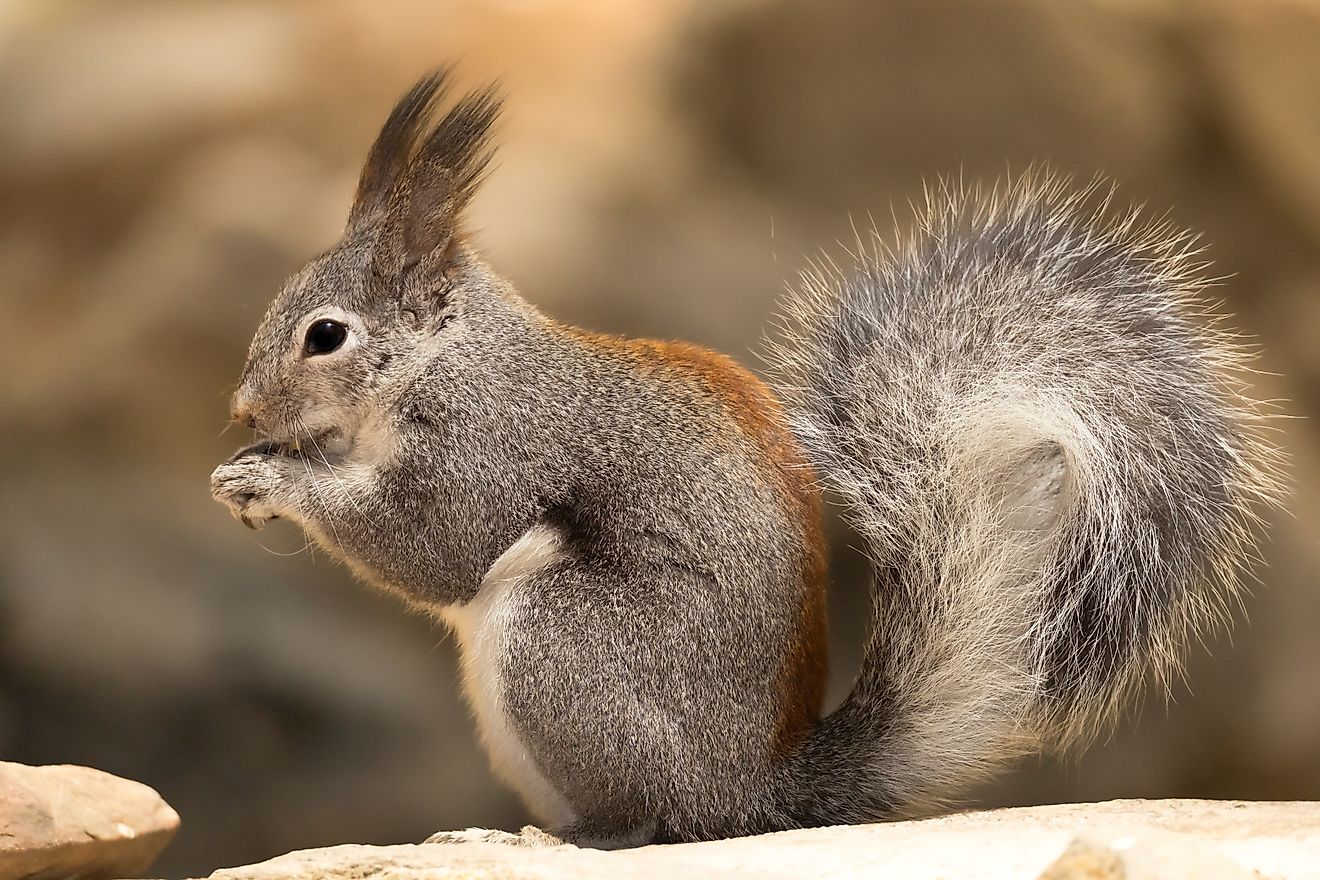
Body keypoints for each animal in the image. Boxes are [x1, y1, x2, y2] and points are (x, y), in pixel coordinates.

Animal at [210, 71, 1279, 848]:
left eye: (325, 336)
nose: (242, 409)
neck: (444, 359)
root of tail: (751, 795)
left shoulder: (493, 444)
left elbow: (433, 548)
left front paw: (272, 480)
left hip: (564, 646)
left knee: (653, 824)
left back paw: (569, 839)